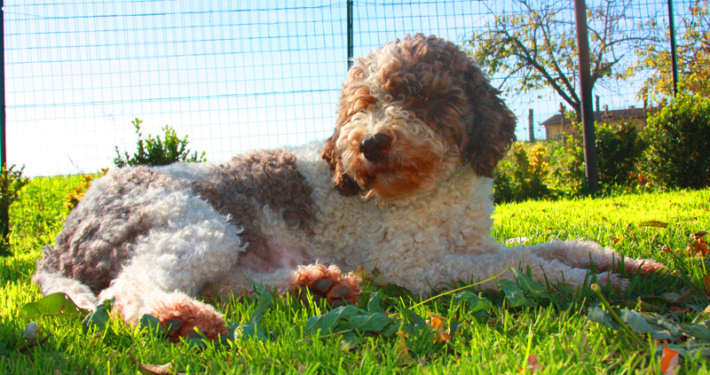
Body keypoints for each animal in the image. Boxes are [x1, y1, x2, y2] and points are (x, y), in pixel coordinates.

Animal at [32, 33, 668, 342]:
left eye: (422, 98)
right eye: (364, 102)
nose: (371, 144)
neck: (430, 193)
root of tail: (59, 241)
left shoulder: (469, 244)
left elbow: (554, 246)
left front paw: (630, 264)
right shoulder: (417, 265)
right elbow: (524, 266)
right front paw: (594, 284)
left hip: (227, 240)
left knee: (234, 284)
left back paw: (317, 285)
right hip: (196, 223)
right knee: (132, 289)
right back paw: (179, 317)